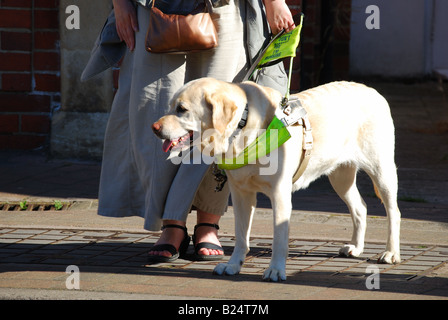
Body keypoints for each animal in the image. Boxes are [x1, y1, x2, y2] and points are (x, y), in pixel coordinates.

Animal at [152, 79, 400, 282]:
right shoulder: (241, 194)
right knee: (360, 208)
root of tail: (372, 90)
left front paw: (275, 270)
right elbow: (241, 236)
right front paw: (233, 265)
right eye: (170, 106)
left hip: (382, 170)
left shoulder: (280, 193)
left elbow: (279, 238)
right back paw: (356, 247)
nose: (154, 128)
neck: (242, 129)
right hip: (340, 176)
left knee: (393, 212)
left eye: (182, 109)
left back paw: (391, 253)